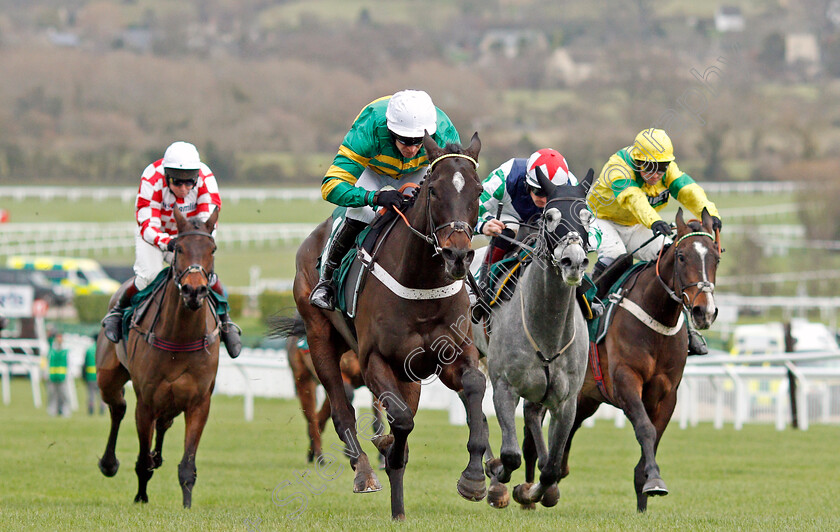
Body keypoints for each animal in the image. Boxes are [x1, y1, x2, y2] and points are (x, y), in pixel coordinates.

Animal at [96, 207, 221, 508]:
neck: (180, 337)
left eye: (211, 249)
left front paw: (187, 505)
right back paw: (109, 463)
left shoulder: (199, 402)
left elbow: (187, 465)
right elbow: (142, 460)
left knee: (163, 422)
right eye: (180, 248)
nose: (194, 290)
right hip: (108, 377)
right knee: (118, 407)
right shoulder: (147, 401)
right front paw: (141, 496)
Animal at [272, 133, 488, 520]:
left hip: (409, 374)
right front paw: (386, 450)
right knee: (340, 412)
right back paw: (364, 472)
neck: (421, 284)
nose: (458, 256)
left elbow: (474, 388)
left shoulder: (450, 355)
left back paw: (398, 507)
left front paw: (474, 478)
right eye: (434, 190)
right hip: (318, 339)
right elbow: (400, 420)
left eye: (478, 190)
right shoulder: (374, 360)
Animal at [472, 167, 592, 512]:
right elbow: (510, 455)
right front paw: (498, 476)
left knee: (532, 413)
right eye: (550, 217)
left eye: (587, 216)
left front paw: (534, 491)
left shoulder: (567, 400)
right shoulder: (504, 385)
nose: (573, 261)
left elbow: (552, 469)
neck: (548, 328)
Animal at [556, 208, 720, 512]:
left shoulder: (667, 393)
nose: (705, 311)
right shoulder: (625, 380)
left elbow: (655, 435)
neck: (656, 317)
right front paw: (654, 480)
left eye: (716, 257)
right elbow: (645, 429)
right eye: (682, 257)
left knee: (569, 428)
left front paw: (645, 490)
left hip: (586, 399)